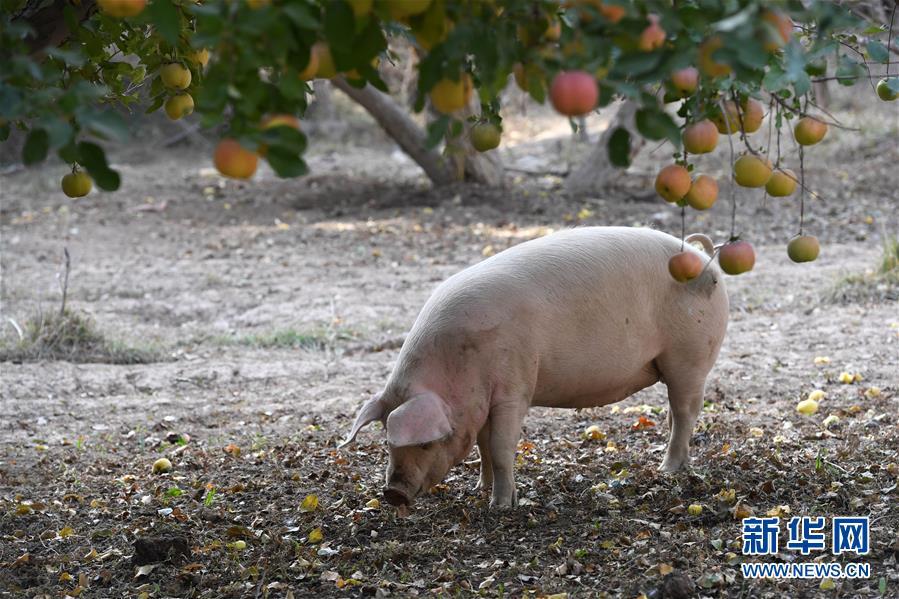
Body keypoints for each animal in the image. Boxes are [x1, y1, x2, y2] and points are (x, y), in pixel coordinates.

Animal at [342, 227, 728, 508]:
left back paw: (667, 470)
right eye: (386, 442)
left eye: (425, 445)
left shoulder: (514, 387)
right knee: (676, 413)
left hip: (689, 357)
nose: (392, 493)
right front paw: (479, 489)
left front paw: (500, 506)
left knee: (686, 411)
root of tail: (704, 258)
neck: (458, 362)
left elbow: (500, 447)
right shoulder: (483, 401)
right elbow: (482, 444)